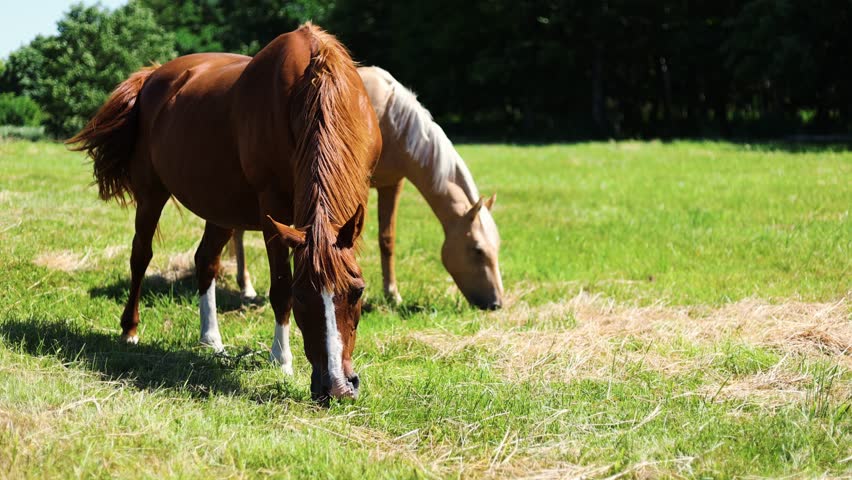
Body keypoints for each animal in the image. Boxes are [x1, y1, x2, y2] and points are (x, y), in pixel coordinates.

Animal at [68, 23, 382, 401]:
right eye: (301, 295)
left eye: (358, 290)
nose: (336, 387)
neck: (316, 84)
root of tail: (152, 76)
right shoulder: (272, 209)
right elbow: (279, 287)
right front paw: (281, 361)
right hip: (151, 192)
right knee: (140, 255)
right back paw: (130, 330)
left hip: (221, 207)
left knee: (205, 261)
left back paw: (211, 341)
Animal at [232, 66, 503, 311]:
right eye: (477, 250)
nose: (496, 303)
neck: (391, 120)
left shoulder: (393, 184)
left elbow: (387, 239)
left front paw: (392, 294)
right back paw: (246, 288)